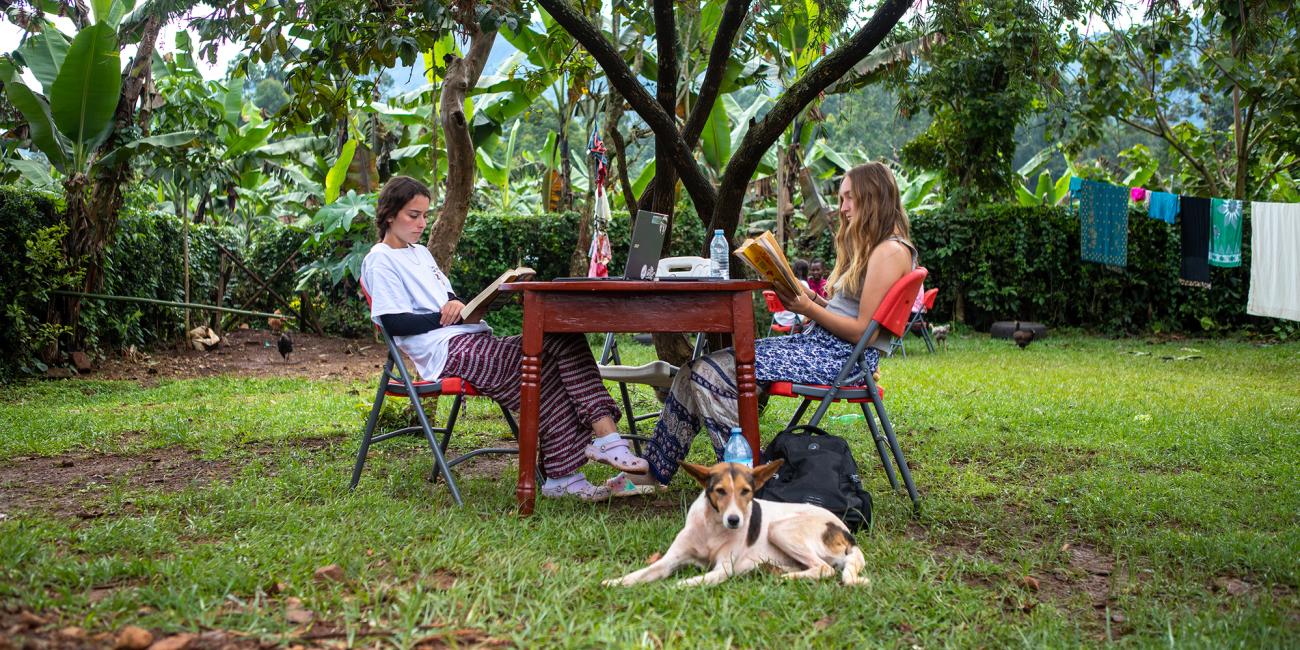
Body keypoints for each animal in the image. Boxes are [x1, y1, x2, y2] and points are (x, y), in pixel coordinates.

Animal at [603, 460, 868, 587]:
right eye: (720, 491)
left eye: (745, 492)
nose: (734, 520)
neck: (712, 529)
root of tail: (847, 533)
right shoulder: (668, 561)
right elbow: (640, 574)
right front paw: (614, 582)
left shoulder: (722, 570)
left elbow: (689, 582)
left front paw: (672, 587)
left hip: (779, 529)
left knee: (824, 569)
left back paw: (783, 578)